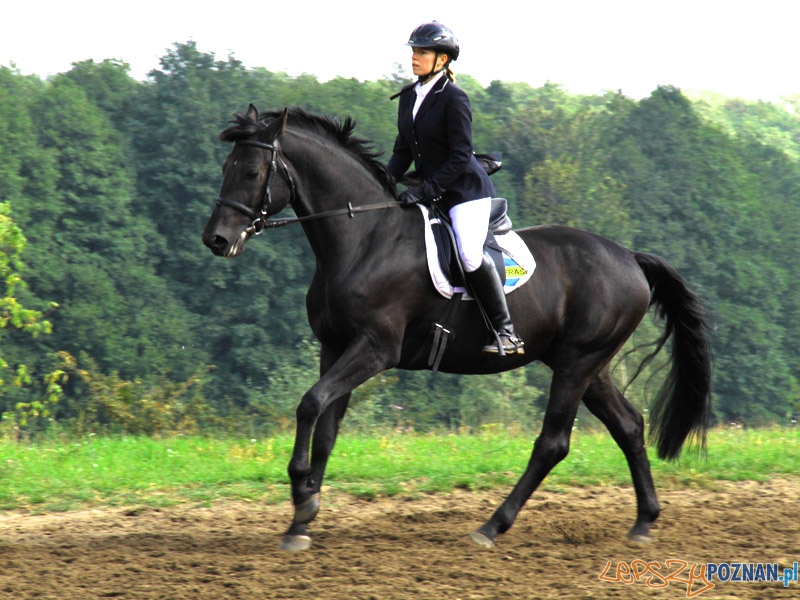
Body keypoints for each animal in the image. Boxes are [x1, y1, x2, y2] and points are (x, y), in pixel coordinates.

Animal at [202, 105, 712, 552]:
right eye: (226, 167)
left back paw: (491, 527)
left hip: (577, 363)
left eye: (252, 173)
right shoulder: (335, 348)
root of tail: (629, 258)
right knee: (628, 425)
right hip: (590, 366)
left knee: (552, 443)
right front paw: (301, 520)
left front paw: (302, 497)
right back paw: (643, 522)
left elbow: (310, 403)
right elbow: (325, 425)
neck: (364, 239)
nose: (217, 240)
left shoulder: (374, 349)